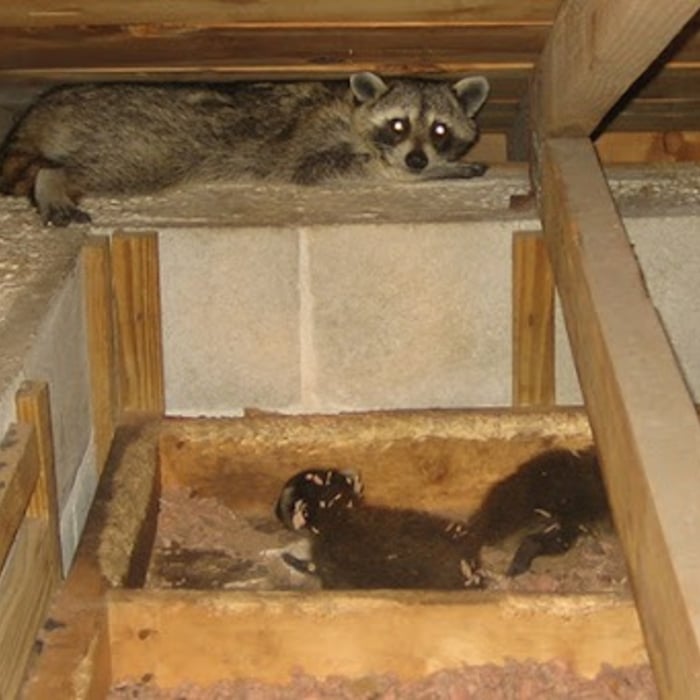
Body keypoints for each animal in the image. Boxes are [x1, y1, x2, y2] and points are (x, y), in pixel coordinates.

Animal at [0, 73, 490, 226]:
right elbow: (326, 169)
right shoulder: (315, 138)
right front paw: (428, 173)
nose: (418, 160)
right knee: (115, 168)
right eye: (398, 125)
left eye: (440, 130)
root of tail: (53, 101)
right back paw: (54, 180)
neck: (354, 108)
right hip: (141, 142)